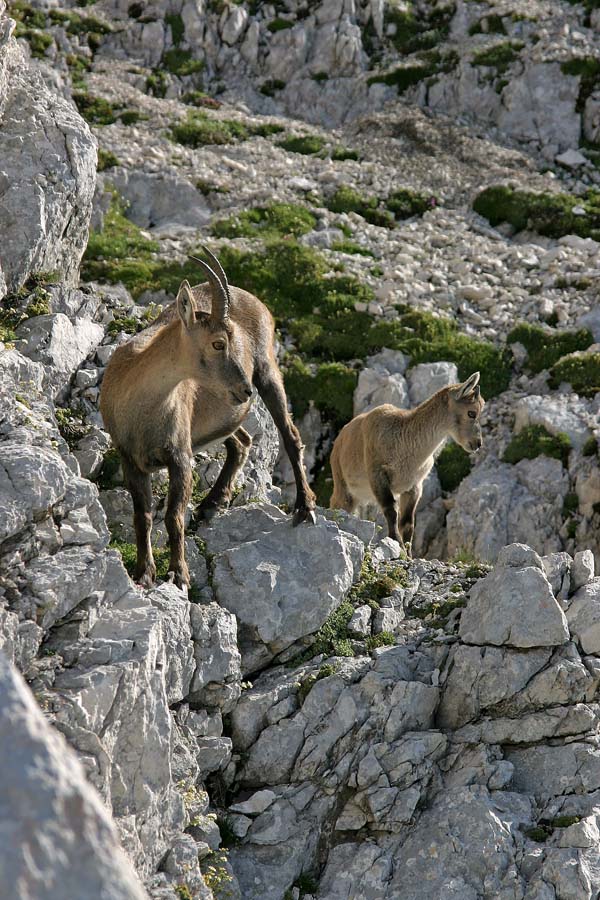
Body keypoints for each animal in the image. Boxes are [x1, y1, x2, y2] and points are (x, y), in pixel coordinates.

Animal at [99, 248, 316, 588]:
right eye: (218, 343)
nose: (245, 389)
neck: (142, 407)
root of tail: (254, 299)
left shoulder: (179, 456)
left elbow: (173, 516)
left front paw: (179, 574)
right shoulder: (129, 457)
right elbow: (142, 516)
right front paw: (144, 572)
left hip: (268, 372)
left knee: (290, 436)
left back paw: (304, 507)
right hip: (224, 415)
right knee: (241, 442)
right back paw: (213, 502)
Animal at [329, 372, 484, 553]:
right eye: (471, 413)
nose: (477, 443)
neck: (405, 445)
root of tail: (339, 440)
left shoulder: (414, 486)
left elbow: (408, 523)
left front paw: (408, 553)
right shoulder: (377, 475)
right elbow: (391, 509)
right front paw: (396, 542)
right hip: (343, 486)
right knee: (336, 505)